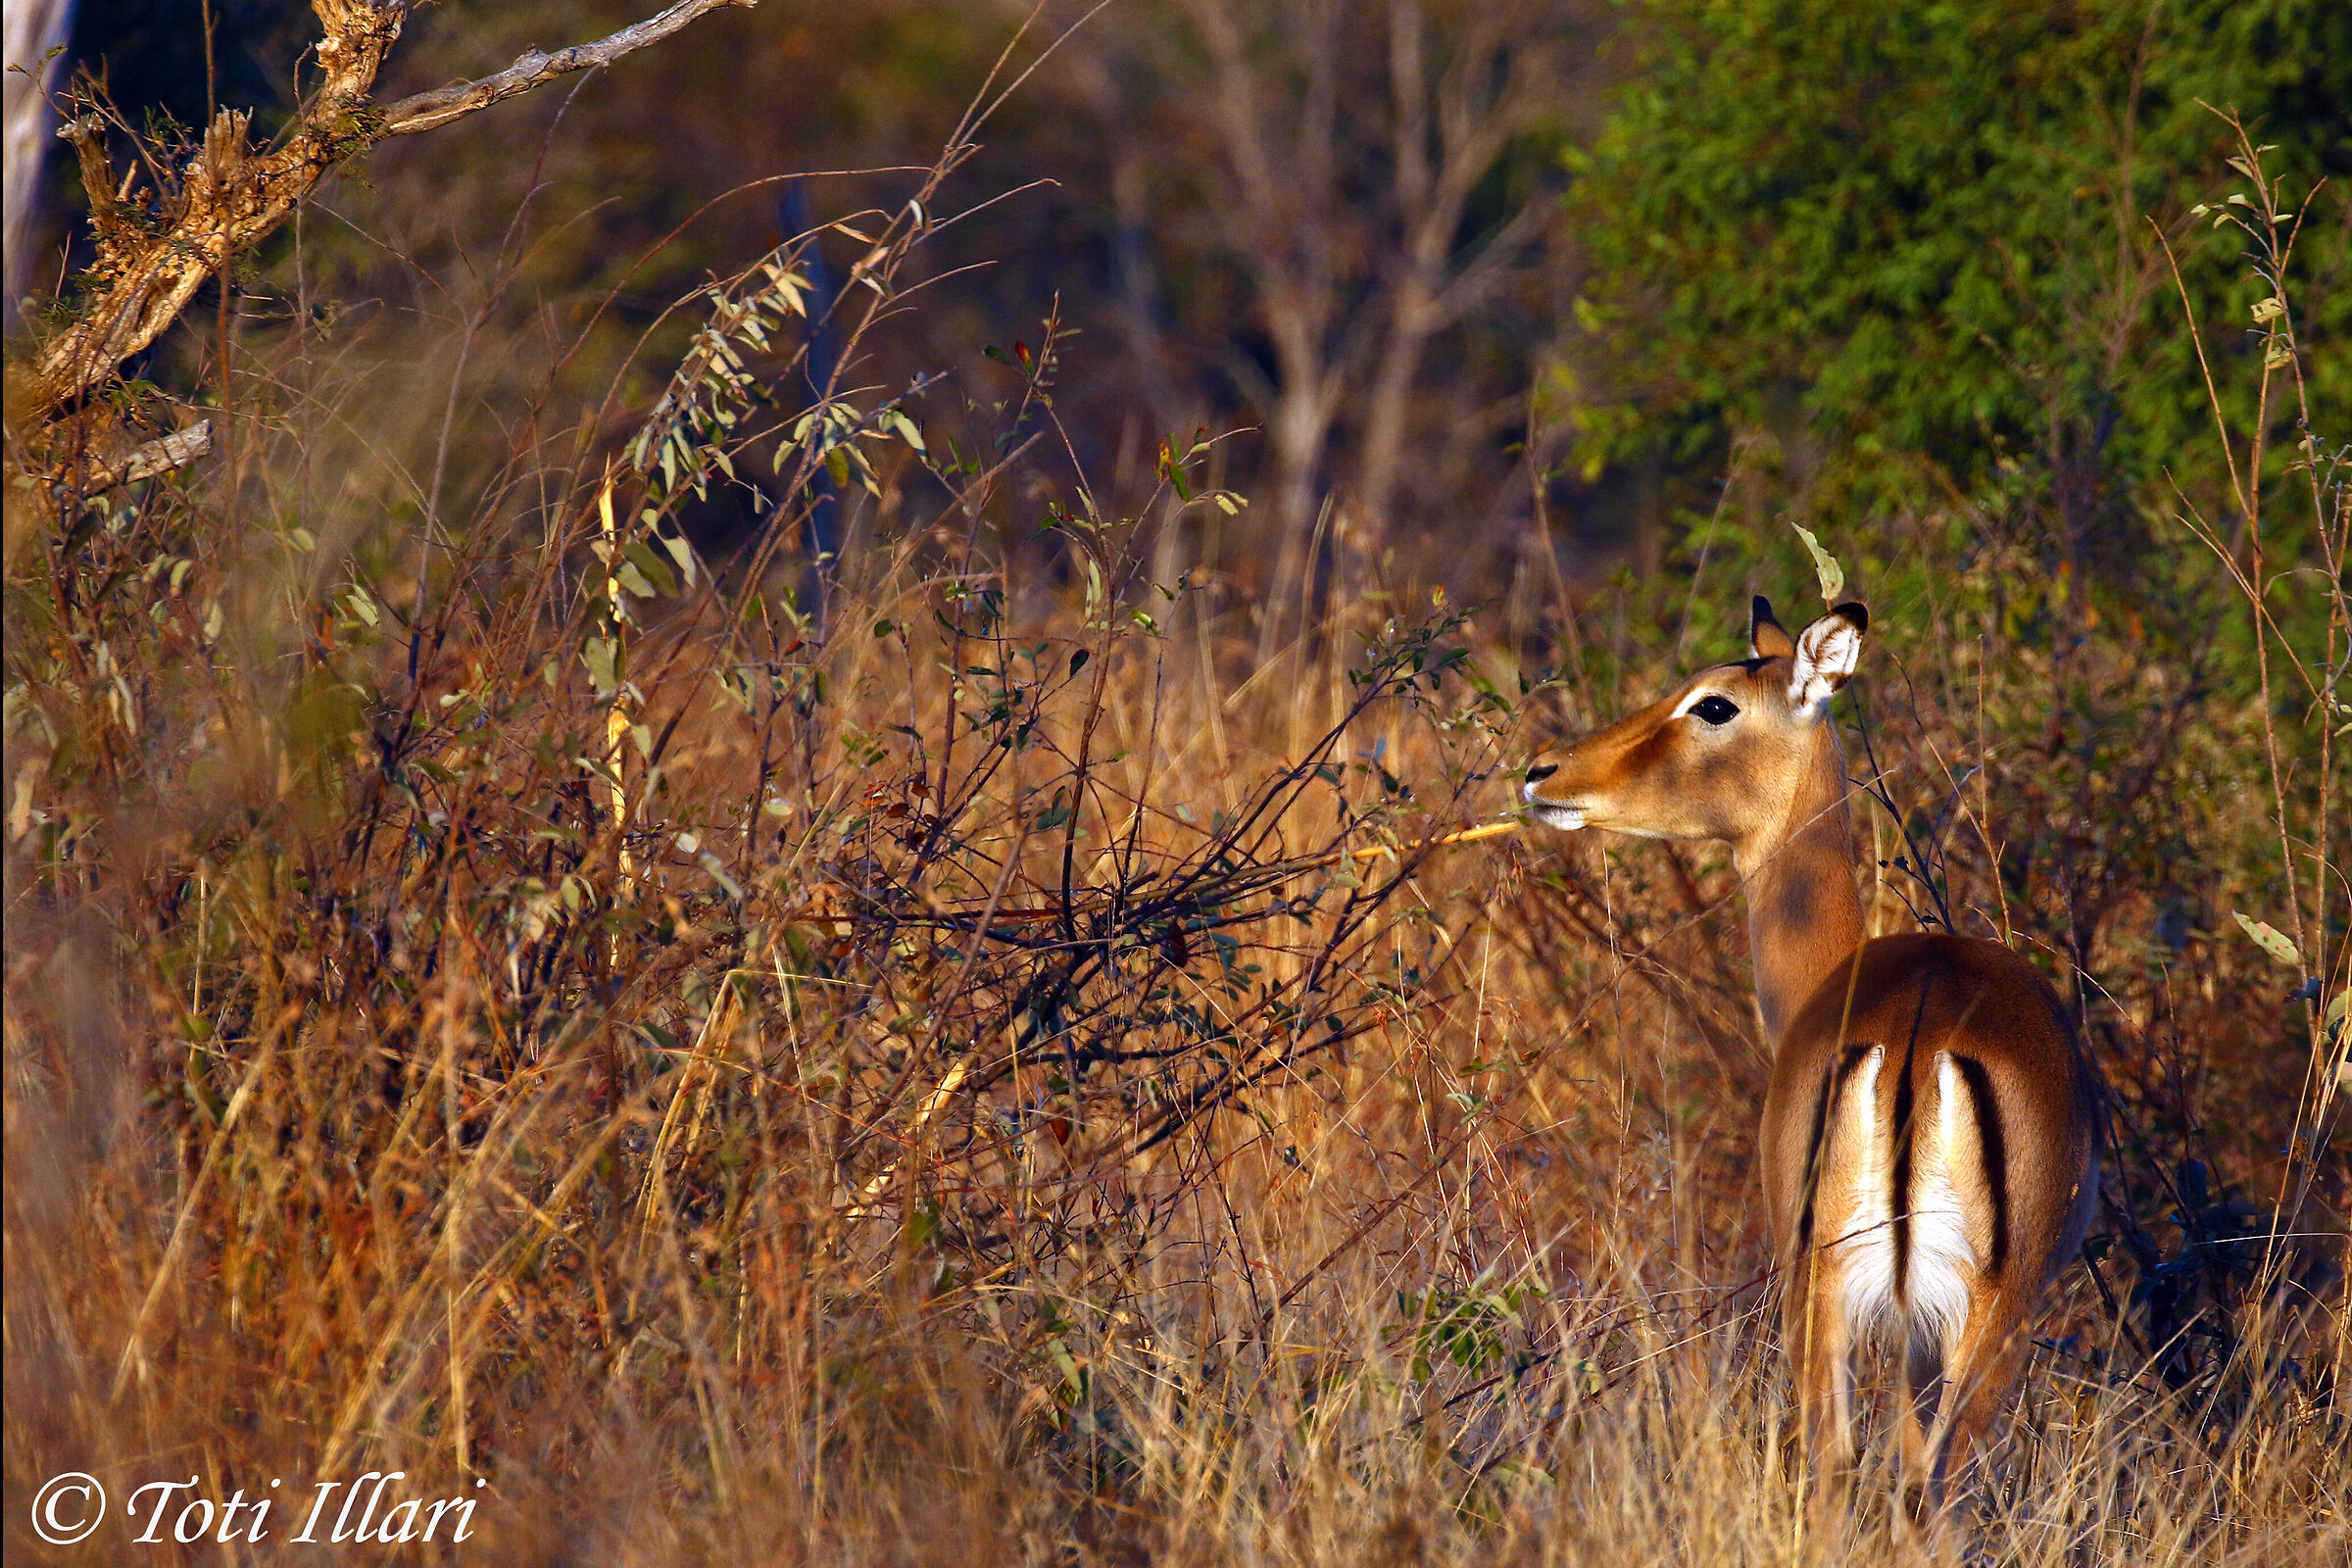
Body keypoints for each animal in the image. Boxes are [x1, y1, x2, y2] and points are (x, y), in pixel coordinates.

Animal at [1523, 596, 2099, 1559]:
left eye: (1714, 703)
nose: (1542, 771)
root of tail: (1918, 1036)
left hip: (1848, 1296)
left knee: (1856, 1471)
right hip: (1953, 1310)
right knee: (1913, 1485)